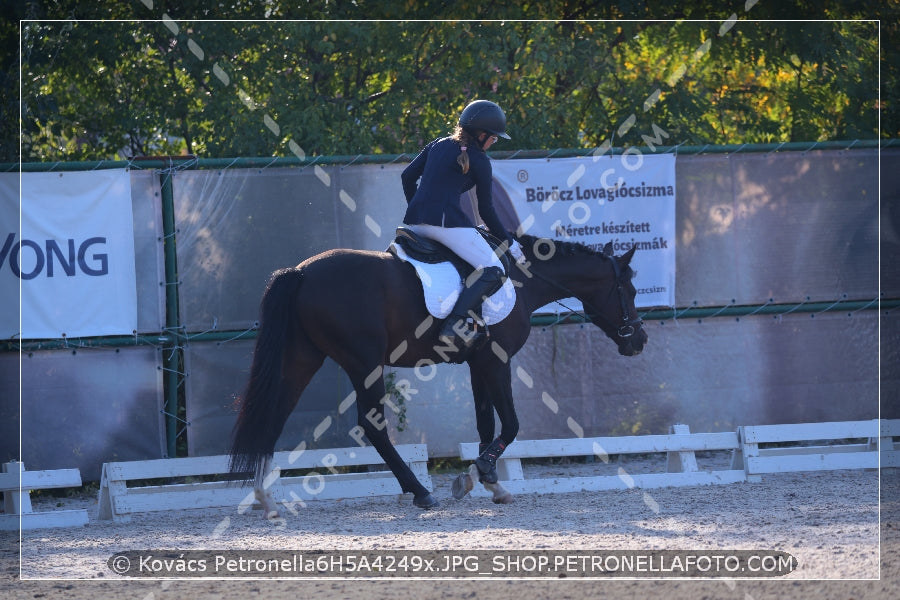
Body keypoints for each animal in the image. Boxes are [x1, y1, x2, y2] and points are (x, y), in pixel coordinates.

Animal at [229, 231, 644, 516]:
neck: (522, 283)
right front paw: (480, 473)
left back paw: (265, 499)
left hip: (303, 357)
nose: (638, 341)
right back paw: (420, 492)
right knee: (372, 424)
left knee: (274, 415)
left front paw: (487, 482)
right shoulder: (497, 361)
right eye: (629, 289)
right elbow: (510, 423)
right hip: (364, 362)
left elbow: (485, 424)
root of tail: (300, 271)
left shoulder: (478, 365)